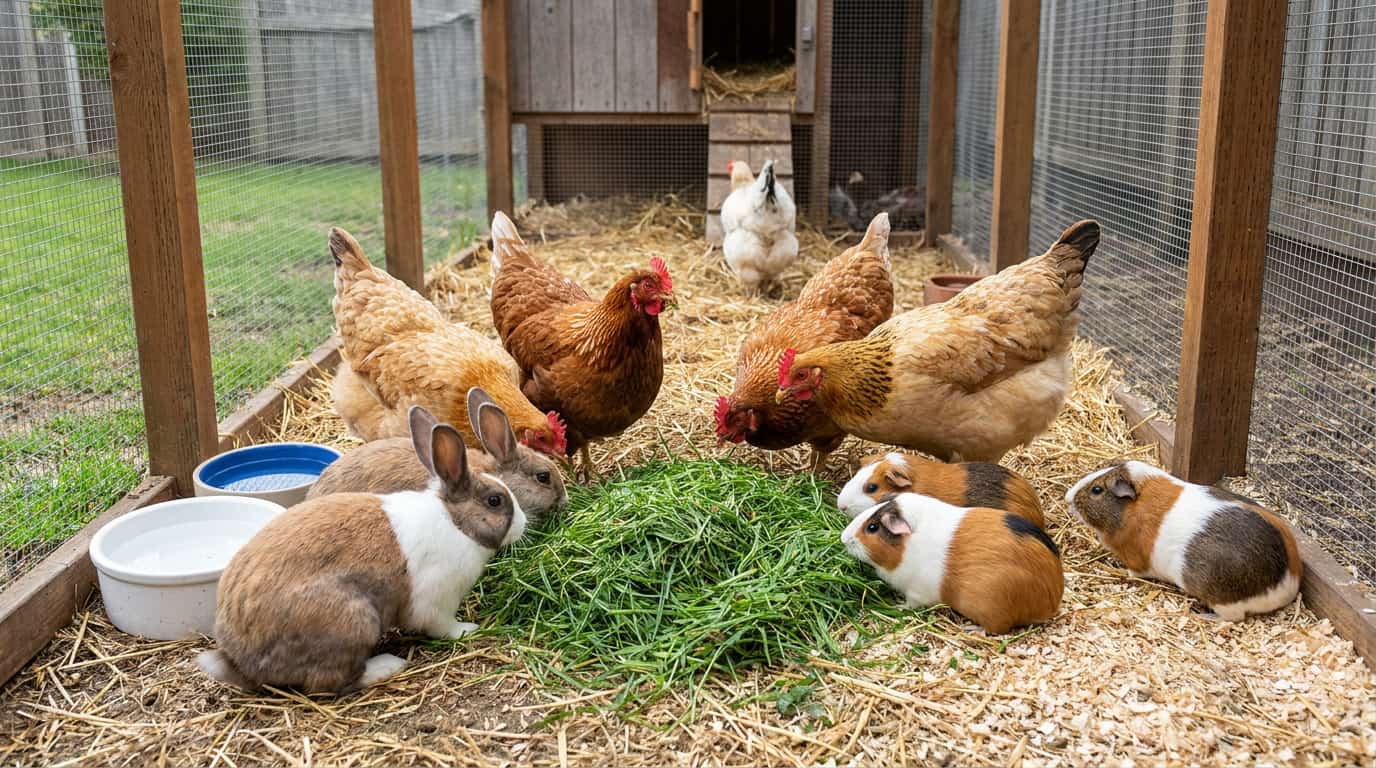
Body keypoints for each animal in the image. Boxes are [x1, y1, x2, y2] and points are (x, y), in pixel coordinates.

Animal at [197, 406, 527, 694]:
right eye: (495, 501)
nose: (523, 524)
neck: (455, 522)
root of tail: (238, 659)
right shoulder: (436, 601)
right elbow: (442, 626)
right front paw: (469, 629)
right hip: (355, 620)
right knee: (328, 683)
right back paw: (387, 665)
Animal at [842, 493, 1063, 634]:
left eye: (872, 528)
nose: (843, 538)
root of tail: (1052, 602)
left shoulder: (916, 593)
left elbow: (910, 604)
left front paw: (898, 606)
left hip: (993, 610)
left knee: (996, 629)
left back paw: (972, 629)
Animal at [1065, 460, 1302, 621]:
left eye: (1097, 490)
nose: (1068, 497)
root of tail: (1288, 583)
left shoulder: (1136, 562)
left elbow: (1132, 572)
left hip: (1221, 600)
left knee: (1232, 618)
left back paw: (1201, 614)